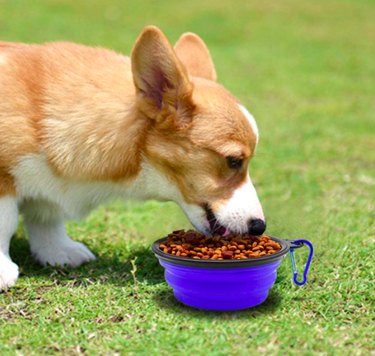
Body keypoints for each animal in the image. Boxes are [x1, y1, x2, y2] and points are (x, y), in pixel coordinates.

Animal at [0, 26, 266, 290]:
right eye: (233, 160)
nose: (259, 227)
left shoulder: (48, 189)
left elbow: (46, 216)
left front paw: (58, 251)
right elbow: (7, 221)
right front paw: (4, 271)